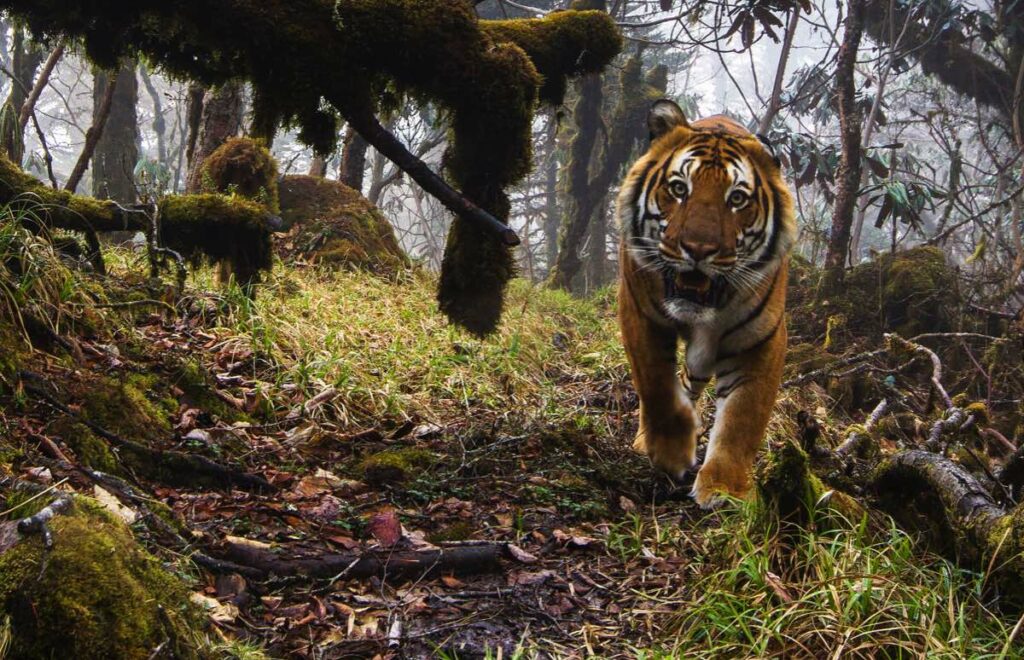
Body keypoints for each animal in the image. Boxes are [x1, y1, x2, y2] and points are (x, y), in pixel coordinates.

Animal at [610, 100, 794, 507]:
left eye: (737, 198)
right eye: (679, 189)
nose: (698, 249)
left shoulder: (760, 341)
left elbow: (743, 417)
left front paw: (724, 488)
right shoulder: (639, 312)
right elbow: (656, 385)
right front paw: (670, 451)